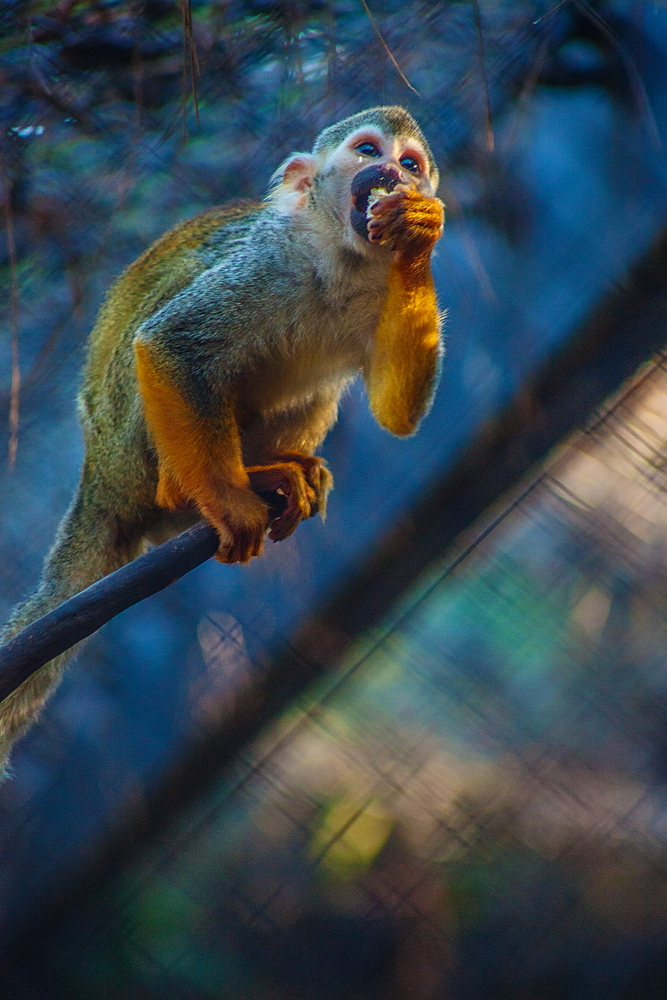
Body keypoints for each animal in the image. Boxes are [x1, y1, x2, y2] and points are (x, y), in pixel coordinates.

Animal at [1, 107, 448, 772]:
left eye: (411, 164)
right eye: (369, 151)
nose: (392, 172)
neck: (340, 260)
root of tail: (96, 482)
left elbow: (396, 412)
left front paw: (420, 233)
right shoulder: (264, 262)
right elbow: (171, 343)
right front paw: (231, 505)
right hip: (123, 449)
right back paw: (195, 493)